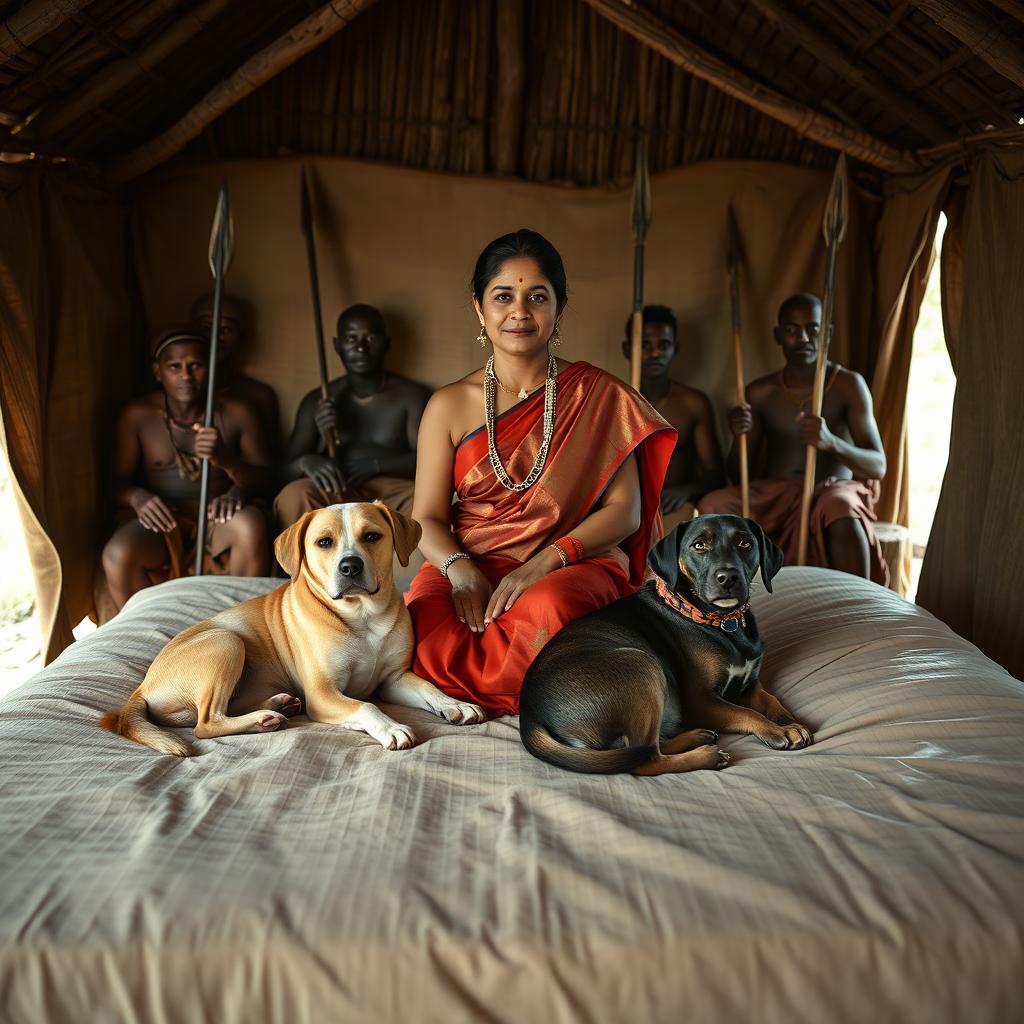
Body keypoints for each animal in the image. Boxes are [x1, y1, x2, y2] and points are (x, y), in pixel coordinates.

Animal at [101, 499, 485, 757]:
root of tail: (142, 686)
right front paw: (391, 726)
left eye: (372, 536)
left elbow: (428, 687)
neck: (362, 617)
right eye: (324, 542)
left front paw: (455, 703)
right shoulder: (324, 693)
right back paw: (263, 718)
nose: (350, 566)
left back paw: (278, 704)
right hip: (226, 641)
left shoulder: (393, 679)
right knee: (206, 722)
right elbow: (366, 707)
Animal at [524, 516, 811, 770]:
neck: (724, 622)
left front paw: (789, 722)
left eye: (745, 543)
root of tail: (532, 716)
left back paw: (696, 737)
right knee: (645, 757)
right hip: (641, 664)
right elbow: (747, 713)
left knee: (644, 747)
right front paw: (776, 730)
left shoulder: (749, 684)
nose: (728, 578)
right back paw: (705, 755)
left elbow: (769, 698)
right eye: (699, 545)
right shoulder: (702, 700)